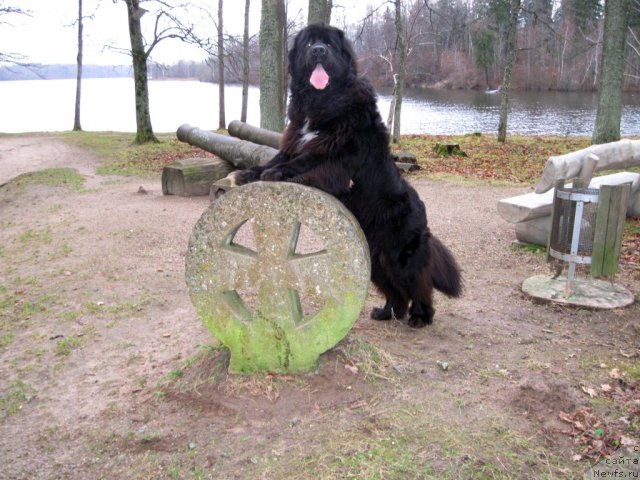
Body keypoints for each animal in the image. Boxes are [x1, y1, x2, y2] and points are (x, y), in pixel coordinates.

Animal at [234, 24, 460, 328]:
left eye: (329, 44)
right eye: (309, 44)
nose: (319, 51)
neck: (320, 101)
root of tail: (423, 215)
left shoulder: (336, 153)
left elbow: (304, 160)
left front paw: (275, 173)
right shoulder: (295, 140)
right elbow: (280, 156)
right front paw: (248, 173)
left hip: (401, 258)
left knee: (419, 285)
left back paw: (420, 317)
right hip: (376, 259)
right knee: (395, 290)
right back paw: (386, 312)